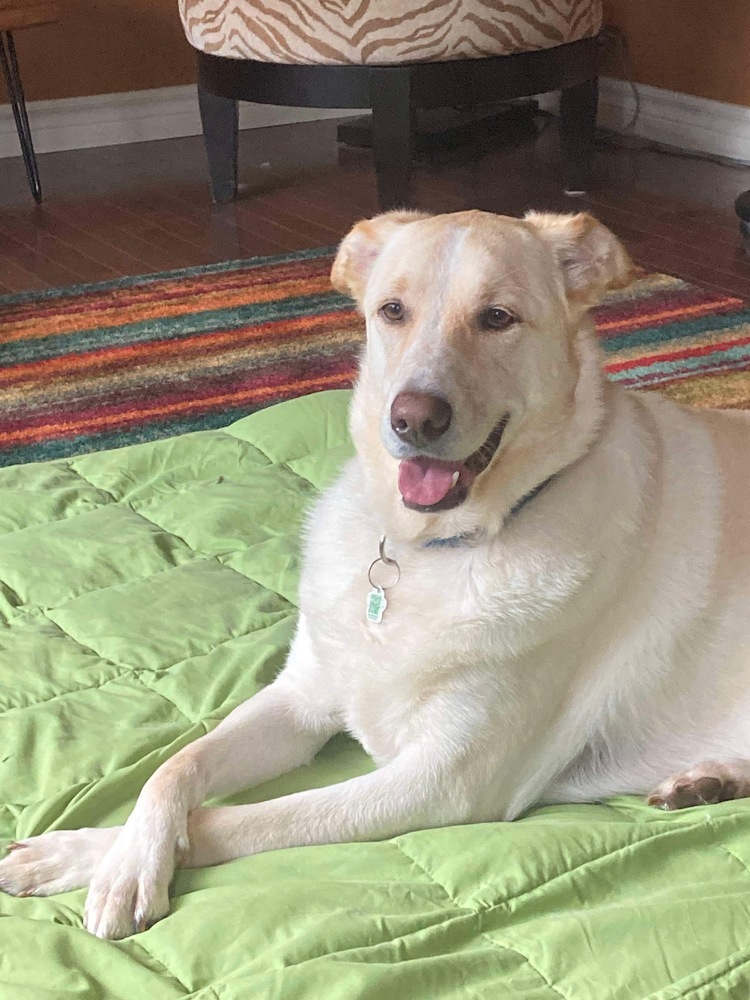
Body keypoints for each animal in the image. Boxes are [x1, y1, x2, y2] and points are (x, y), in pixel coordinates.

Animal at [1, 211, 750, 936]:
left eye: (498, 317)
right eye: (392, 310)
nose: (414, 418)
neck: (435, 548)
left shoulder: (441, 784)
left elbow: (239, 820)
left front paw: (100, 862)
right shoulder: (299, 701)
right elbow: (173, 768)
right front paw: (120, 853)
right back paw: (707, 782)